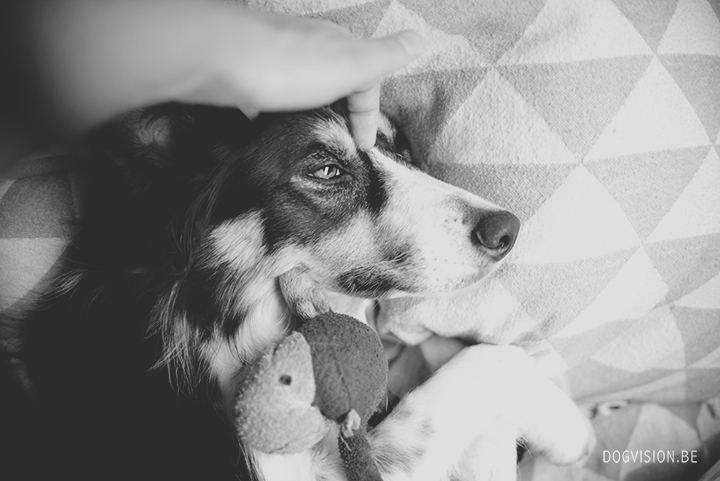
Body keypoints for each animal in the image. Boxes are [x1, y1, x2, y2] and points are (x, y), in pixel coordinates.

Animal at [4, 103, 592, 480]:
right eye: (326, 170)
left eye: (400, 149)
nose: (507, 230)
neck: (207, 315)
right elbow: (487, 364)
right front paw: (571, 431)